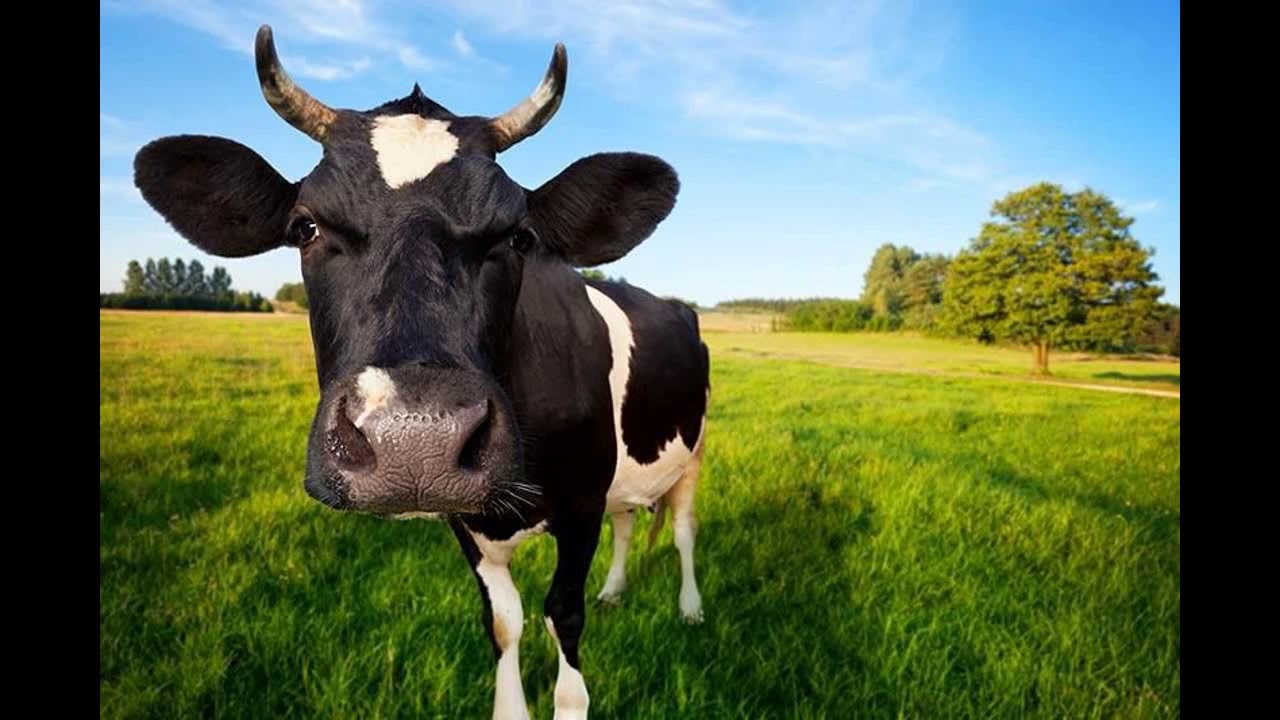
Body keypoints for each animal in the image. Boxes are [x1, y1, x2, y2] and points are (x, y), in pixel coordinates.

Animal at [132, 25, 710, 720]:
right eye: (305, 227)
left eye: (518, 236)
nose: (416, 442)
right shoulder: (468, 521)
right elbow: (504, 624)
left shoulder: (579, 505)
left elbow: (563, 625)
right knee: (629, 523)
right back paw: (618, 590)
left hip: (694, 453)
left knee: (682, 531)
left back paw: (690, 609)